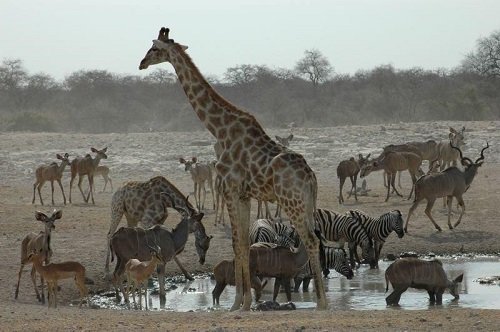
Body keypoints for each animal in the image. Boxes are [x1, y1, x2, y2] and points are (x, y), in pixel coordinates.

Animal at [139, 27, 326, 310]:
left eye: (154, 49)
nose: (141, 63)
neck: (220, 129)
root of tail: (311, 177)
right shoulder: (244, 194)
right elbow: (244, 244)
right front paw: (244, 300)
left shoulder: (230, 188)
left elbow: (237, 244)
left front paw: (239, 302)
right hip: (305, 203)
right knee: (314, 236)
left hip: (291, 202)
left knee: (312, 239)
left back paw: (322, 303)